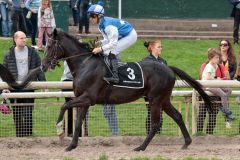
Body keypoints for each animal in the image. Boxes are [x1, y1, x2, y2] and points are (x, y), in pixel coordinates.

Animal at [0, 28, 214, 152]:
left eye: (51, 44)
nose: (44, 66)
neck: (84, 63)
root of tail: (168, 68)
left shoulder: (88, 98)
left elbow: (65, 107)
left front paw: (60, 129)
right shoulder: (83, 100)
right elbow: (77, 122)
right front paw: (71, 145)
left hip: (155, 99)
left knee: (155, 124)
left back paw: (140, 147)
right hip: (163, 99)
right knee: (177, 116)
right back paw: (186, 143)